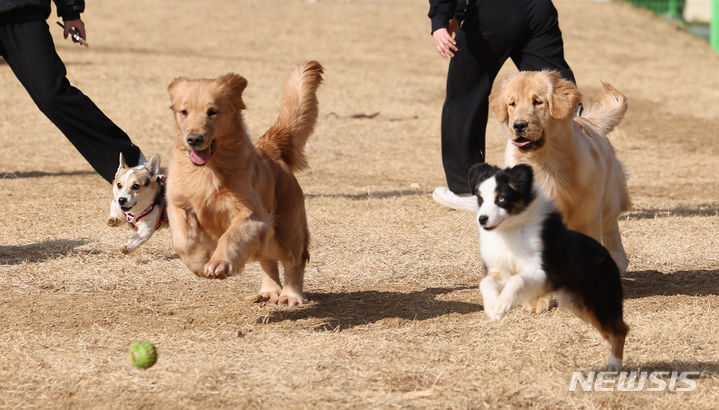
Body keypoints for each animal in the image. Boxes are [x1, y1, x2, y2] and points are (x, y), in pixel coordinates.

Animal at [470, 163, 628, 372]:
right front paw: (492, 307)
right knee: (609, 330)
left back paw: (614, 363)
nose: (482, 219)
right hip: (576, 304)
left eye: (501, 199)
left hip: (600, 301)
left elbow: (517, 279)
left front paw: (503, 304)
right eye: (480, 199)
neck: (511, 229)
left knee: (621, 329)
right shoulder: (501, 271)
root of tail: (606, 254)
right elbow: (486, 282)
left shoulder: (543, 272)